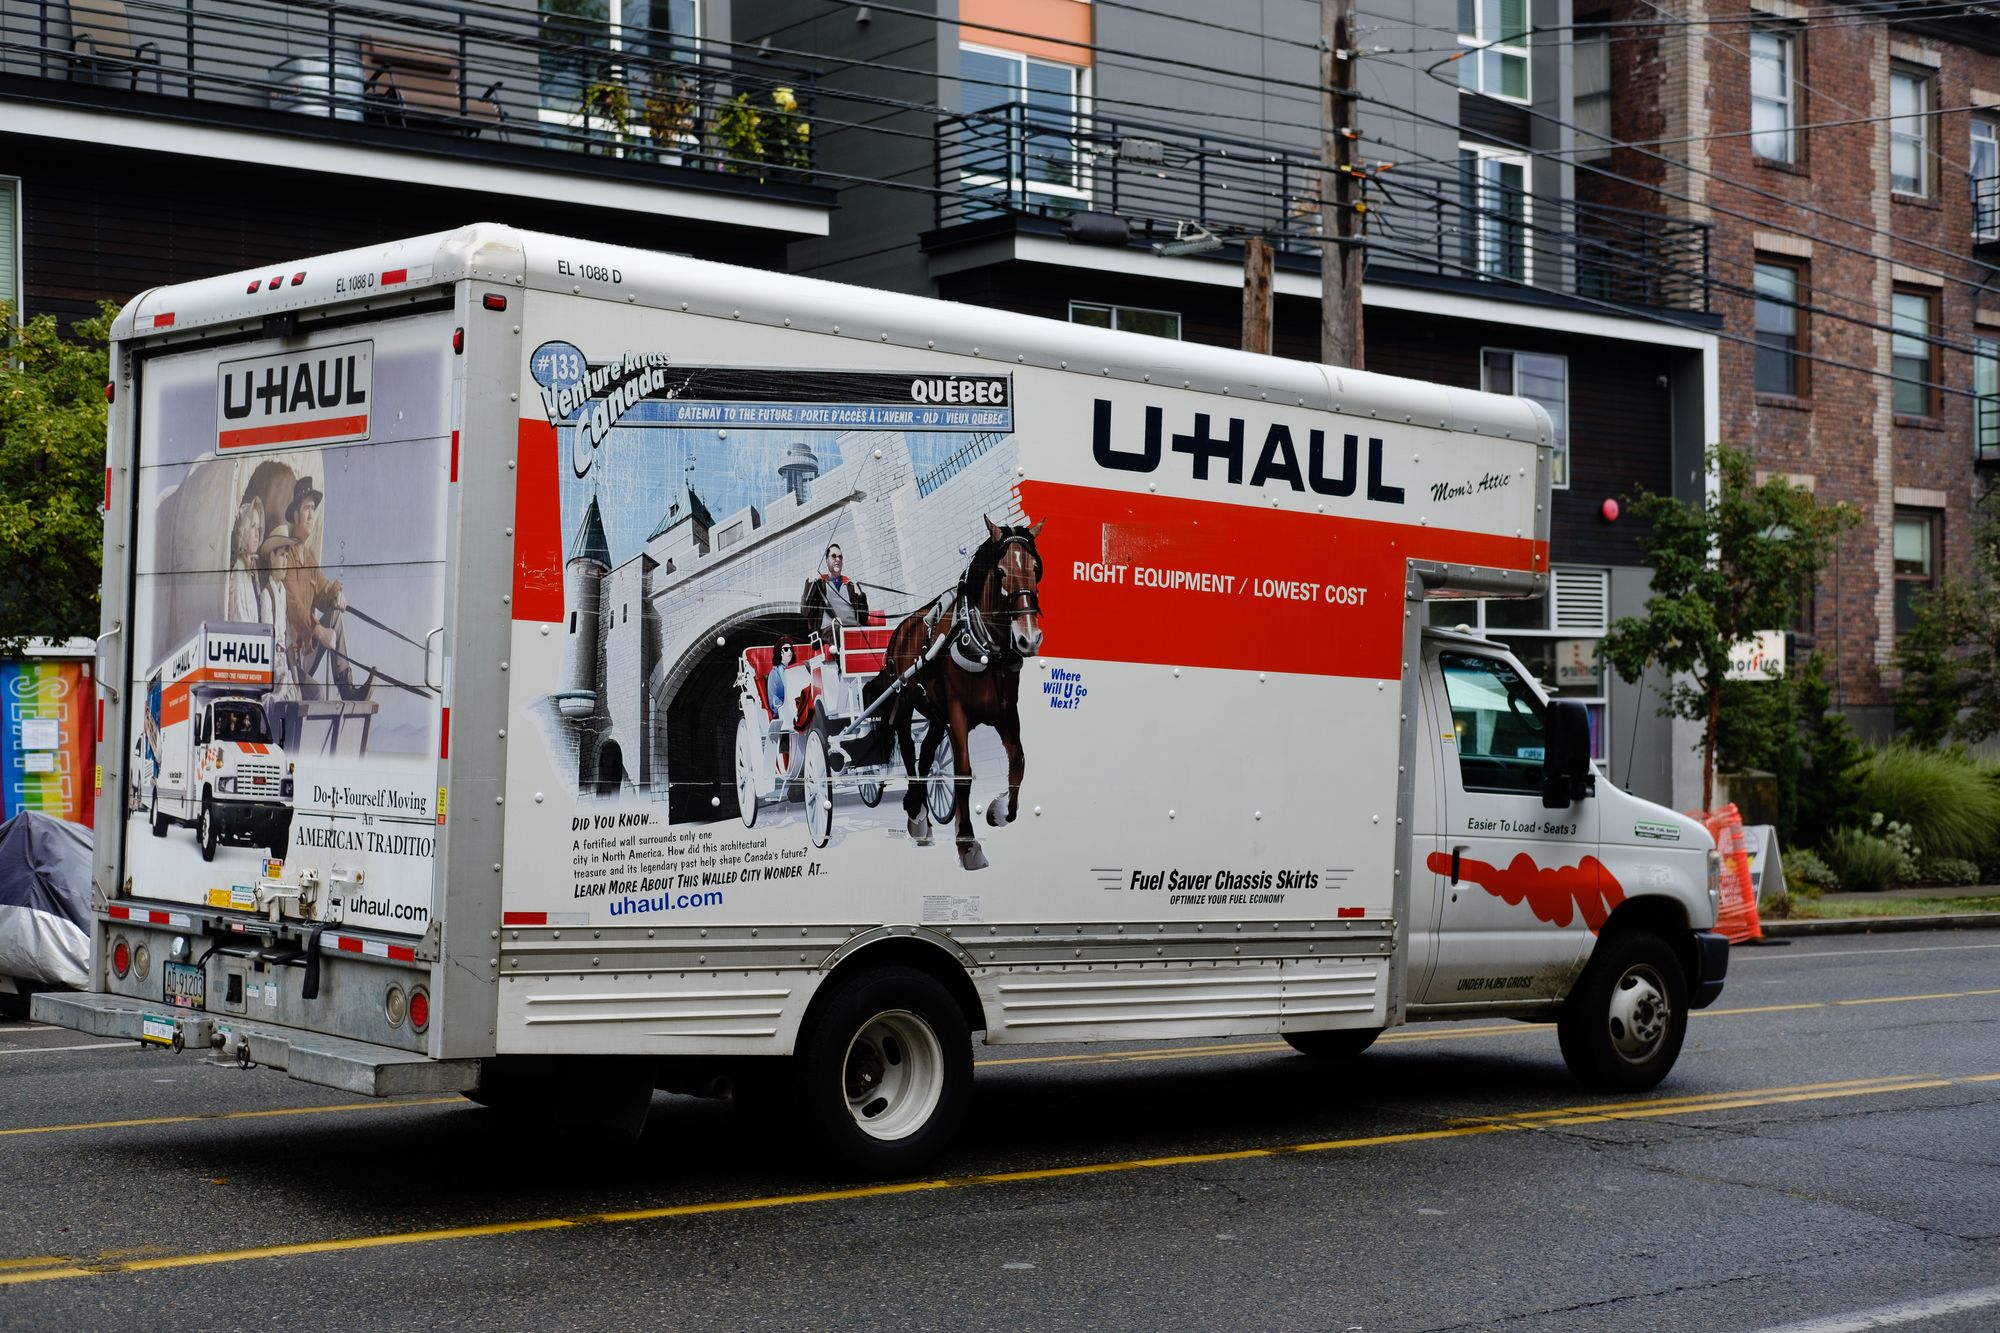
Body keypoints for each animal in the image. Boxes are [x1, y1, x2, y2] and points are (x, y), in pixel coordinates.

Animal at [888, 512, 1048, 868]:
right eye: (1000, 571)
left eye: (1036, 568)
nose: (1029, 638)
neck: (984, 645)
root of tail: (903, 626)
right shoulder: (958, 713)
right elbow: (963, 774)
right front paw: (967, 843)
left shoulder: (1005, 711)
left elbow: (1019, 761)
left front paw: (1000, 810)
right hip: (906, 701)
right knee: (907, 748)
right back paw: (916, 814)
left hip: (935, 713)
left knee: (926, 753)